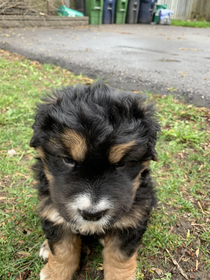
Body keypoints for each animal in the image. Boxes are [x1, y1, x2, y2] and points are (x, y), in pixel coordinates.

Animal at [30, 80, 160, 278]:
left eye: (122, 163)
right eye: (68, 160)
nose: (91, 214)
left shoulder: (133, 216)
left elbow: (119, 258)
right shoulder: (52, 206)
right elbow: (62, 250)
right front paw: (55, 273)